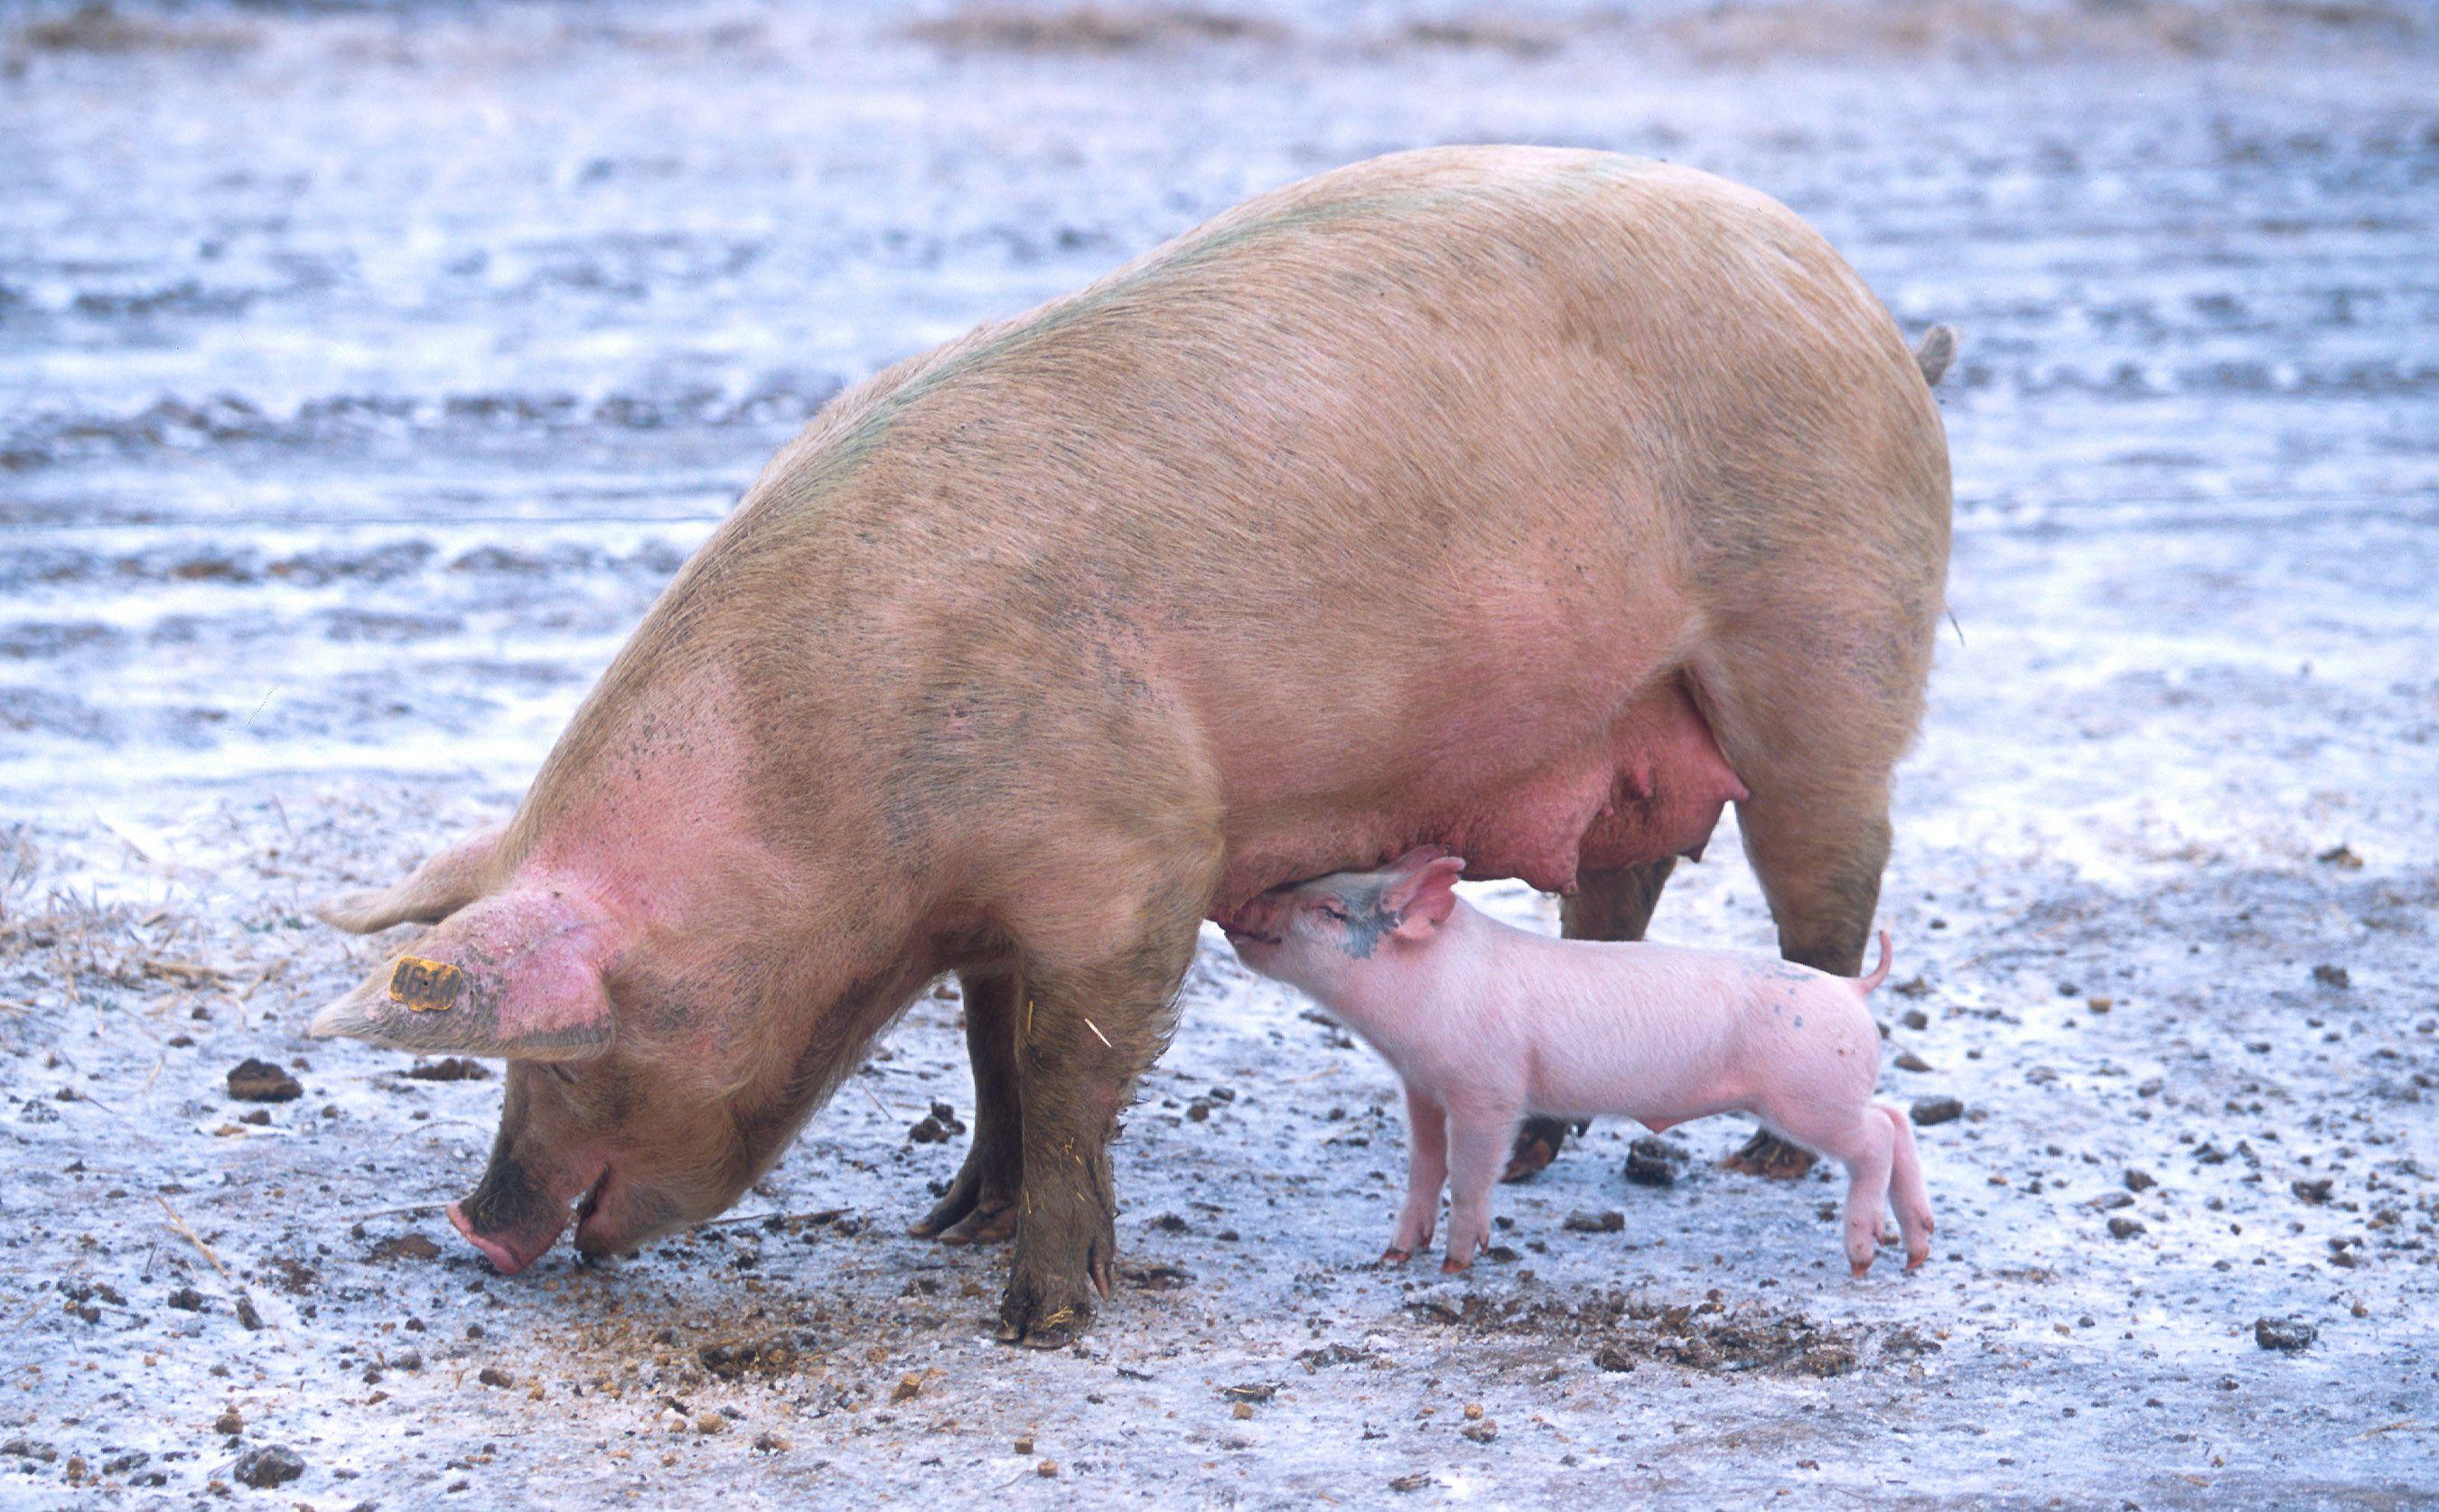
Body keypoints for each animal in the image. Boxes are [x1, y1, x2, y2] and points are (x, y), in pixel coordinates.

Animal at [1221, 850, 1935, 1275]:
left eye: (1329, 911)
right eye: (1314, 884)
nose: (1239, 905)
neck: (1429, 988)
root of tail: (1854, 990)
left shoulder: (1488, 1088)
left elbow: (1472, 1173)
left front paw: (1456, 1266)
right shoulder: (1421, 1086)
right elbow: (1424, 1167)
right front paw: (1394, 1256)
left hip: (1807, 1097)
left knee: (1875, 1137)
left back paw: (1865, 1257)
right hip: (1829, 1092)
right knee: (1896, 1117)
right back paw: (1916, 1252)